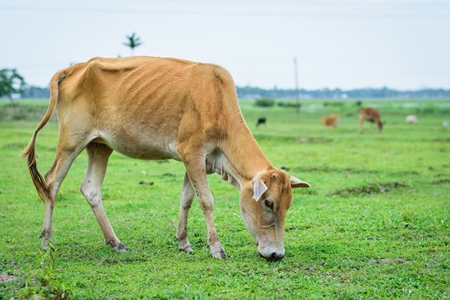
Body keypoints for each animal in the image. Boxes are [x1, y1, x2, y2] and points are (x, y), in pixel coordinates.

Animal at [21, 55, 310, 260]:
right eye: (269, 203)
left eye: (288, 205)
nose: (276, 254)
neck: (218, 104)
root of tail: (74, 68)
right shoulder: (192, 152)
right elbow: (206, 201)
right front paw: (216, 248)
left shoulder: (199, 161)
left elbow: (187, 200)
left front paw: (183, 242)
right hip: (71, 141)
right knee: (51, 183)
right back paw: (46, 240)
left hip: (100, 145)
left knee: (90, 189)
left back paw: (115, 242)